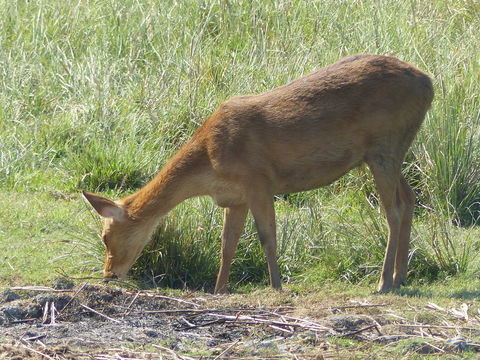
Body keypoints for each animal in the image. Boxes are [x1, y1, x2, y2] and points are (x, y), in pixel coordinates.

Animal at [83, 54, 436, 294]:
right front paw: (219, 290)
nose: (109, 274)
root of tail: (428, 84)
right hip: (389, 151)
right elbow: (228, 243)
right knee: (410, 198)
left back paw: (384, 282)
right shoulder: (235, 197)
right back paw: (401, 276)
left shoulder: (259, 182)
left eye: (105, 236)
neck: (209, 163)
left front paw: (277, 286)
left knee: (393, 209)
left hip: (384, 145)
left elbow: (267, 236)